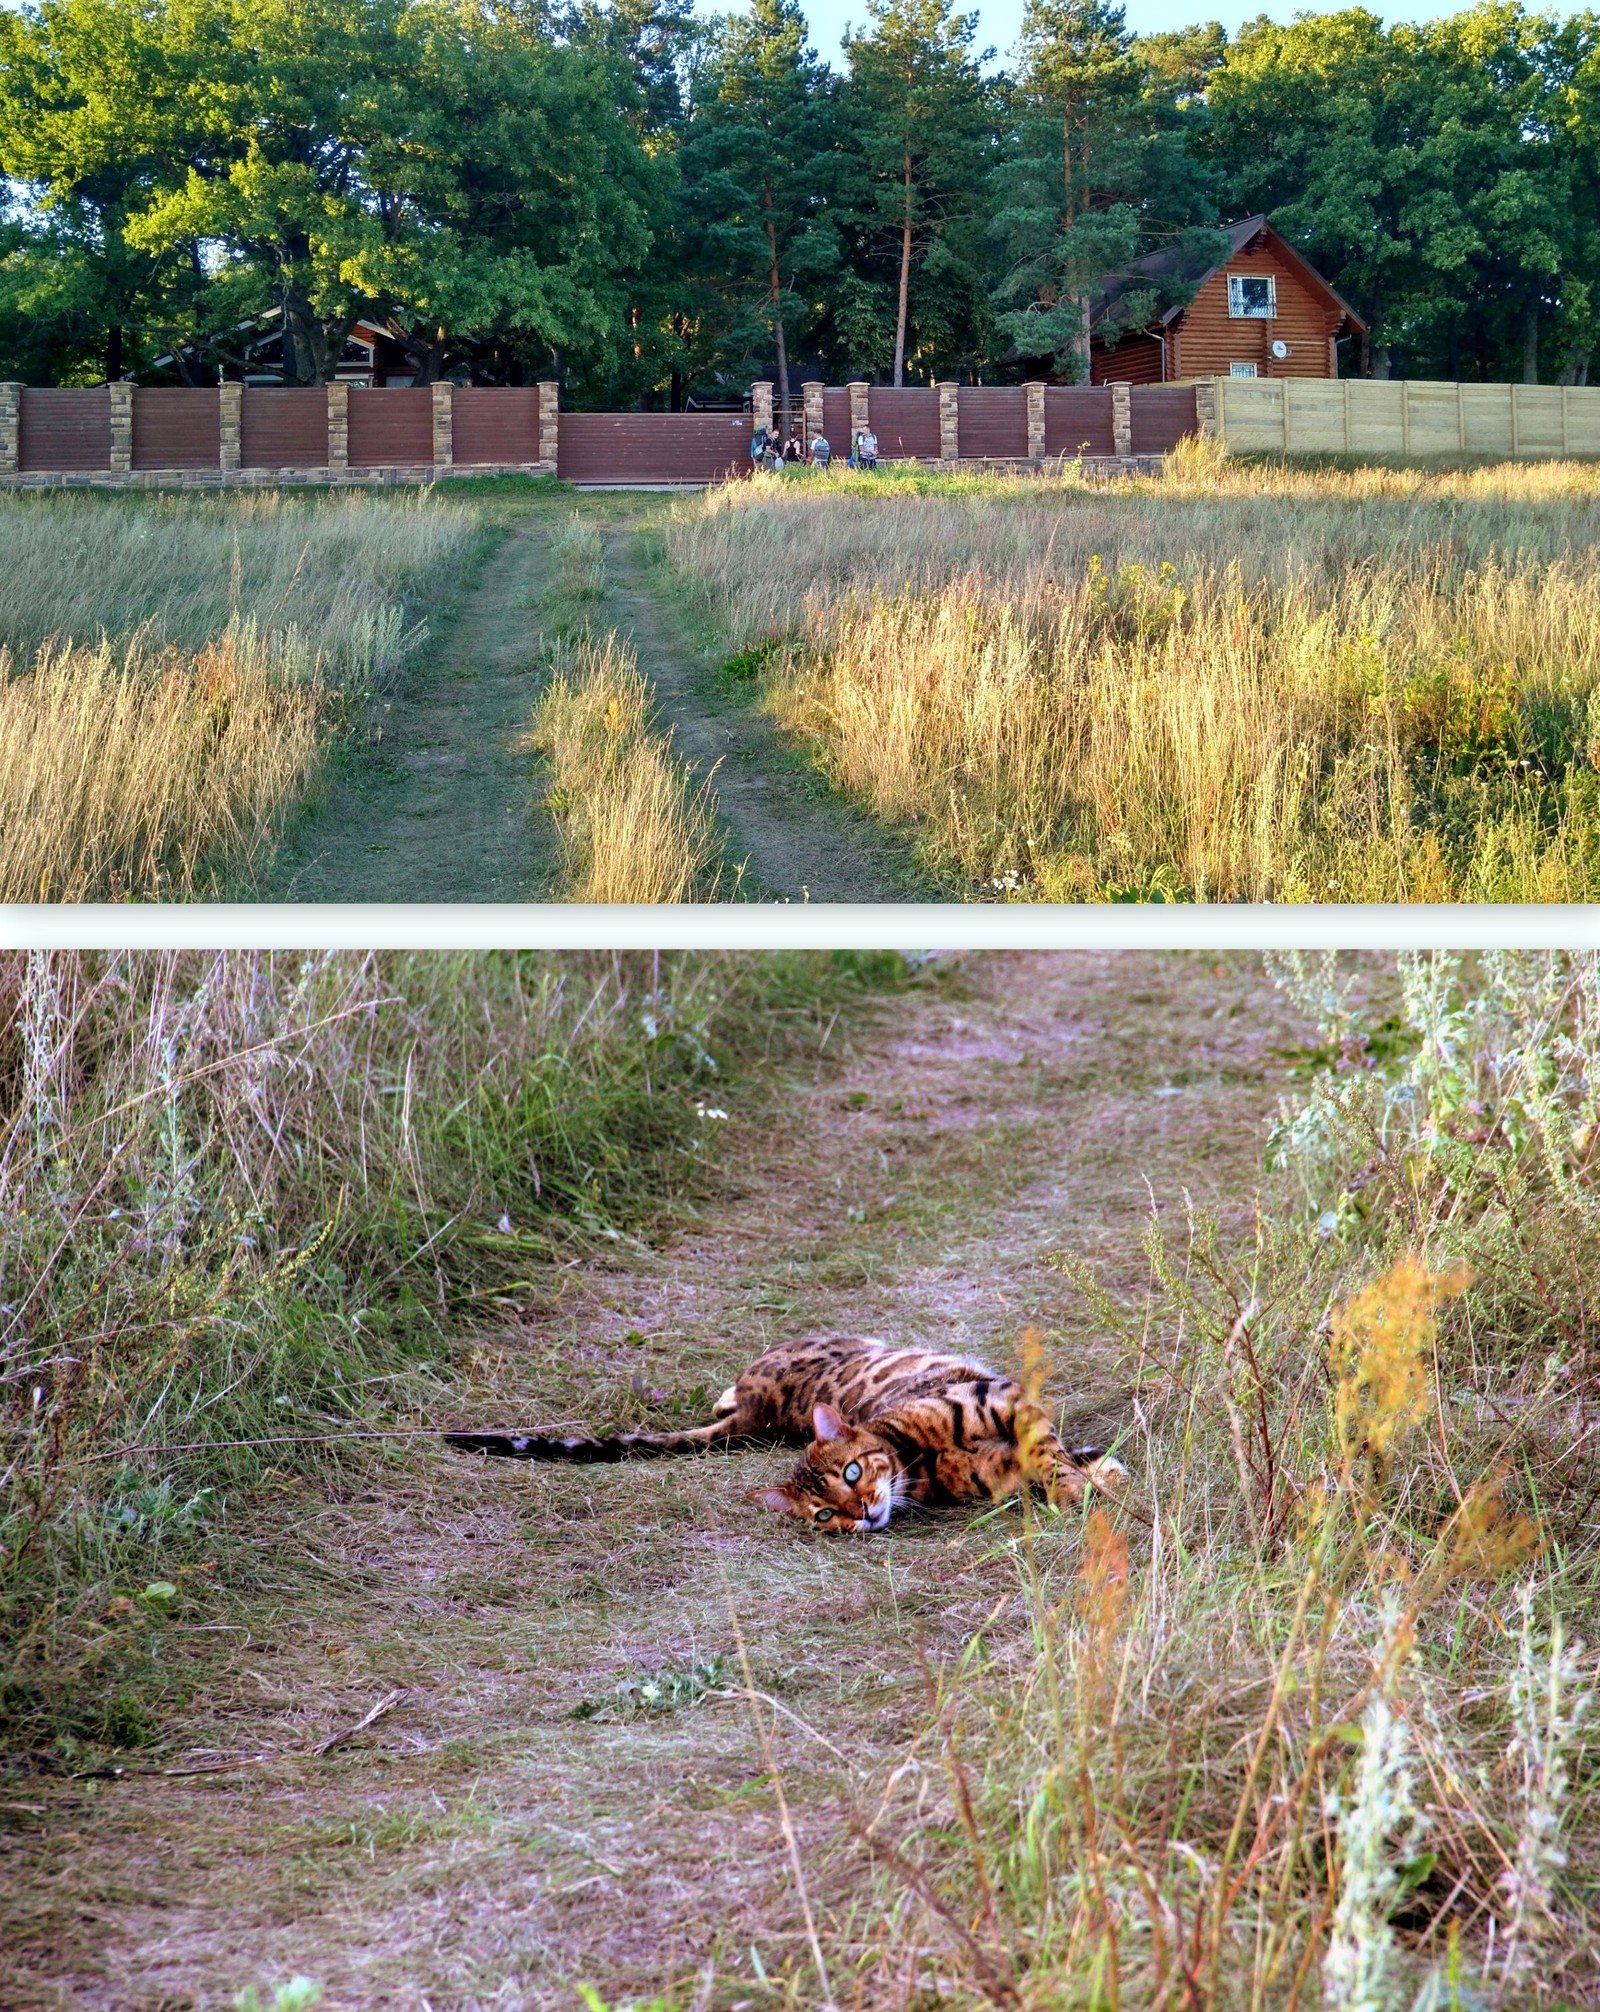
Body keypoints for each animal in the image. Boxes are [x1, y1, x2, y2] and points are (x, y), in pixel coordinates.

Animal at [444, 1344, 1135, 1529]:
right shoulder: (998, 1460)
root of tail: (757, 1416)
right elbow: (1045, 1466)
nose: (861, 1514)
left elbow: (1052, 1455)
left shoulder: (1005, 1401)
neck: (915, 1458)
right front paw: (1085, 1481)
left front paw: (1086, 1481)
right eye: (824, 1514)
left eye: (852, 1473)